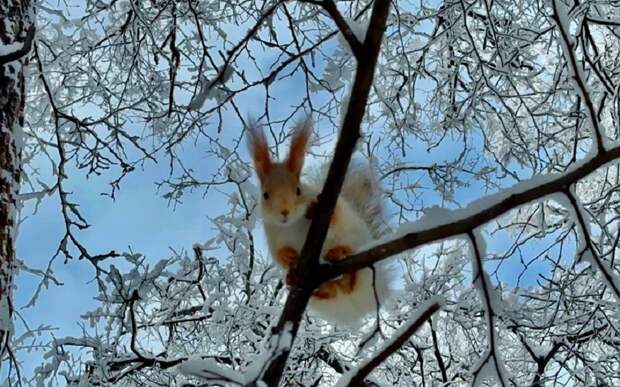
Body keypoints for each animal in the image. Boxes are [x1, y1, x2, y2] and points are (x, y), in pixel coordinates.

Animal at [246, 117, 388, 324]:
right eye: (265, 195)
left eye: (298, 190)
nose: (284, 212)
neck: (292, 224)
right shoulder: (275, 235)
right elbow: (279, 253)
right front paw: (289, 258)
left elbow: (335, 218)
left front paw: (313, 209)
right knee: (332, 292)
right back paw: (304, 283)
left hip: (360, 252)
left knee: (352, 277)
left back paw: (340, 253)